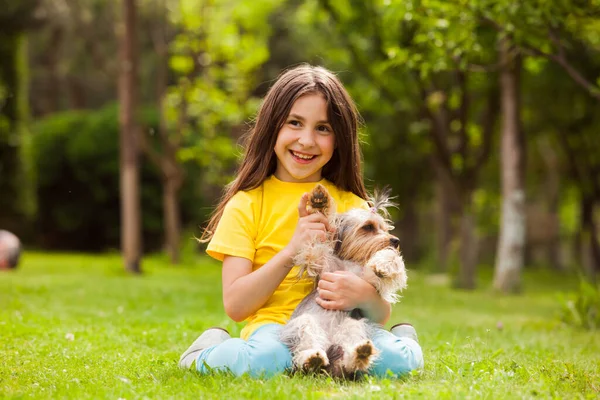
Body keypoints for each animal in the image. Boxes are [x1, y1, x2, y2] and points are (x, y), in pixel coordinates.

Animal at [278, 184, 406, 378]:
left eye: (384, 228)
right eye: (368, 227)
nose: (396, 240)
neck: (351, 262)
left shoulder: (368, 281)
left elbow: (387, 263)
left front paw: (383, 265)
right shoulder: (319, 259)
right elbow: (316, 239)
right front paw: (319, 199)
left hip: (353, 325)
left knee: (349, 358)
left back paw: (360, 355)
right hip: (304, 324)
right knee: (308, 346)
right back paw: (312, 359)